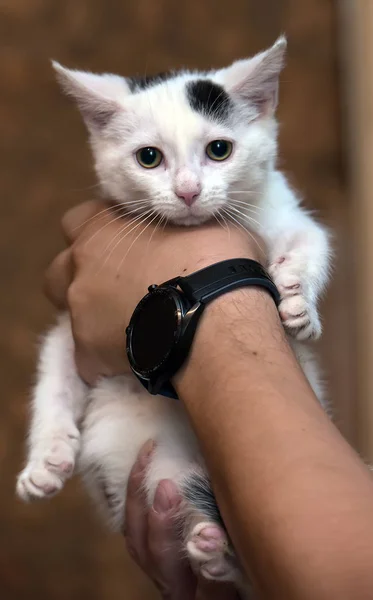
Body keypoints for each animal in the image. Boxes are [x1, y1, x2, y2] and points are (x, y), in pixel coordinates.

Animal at [16, 35, 328, 592]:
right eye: (149, 158)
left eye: (220, 150)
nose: (187, 191)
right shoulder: (70, 325)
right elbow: (53, 372)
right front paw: (46, 458)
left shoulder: (286, 214)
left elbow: (311, 241)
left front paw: (298, 298)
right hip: (161, 469)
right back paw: (209, 545)